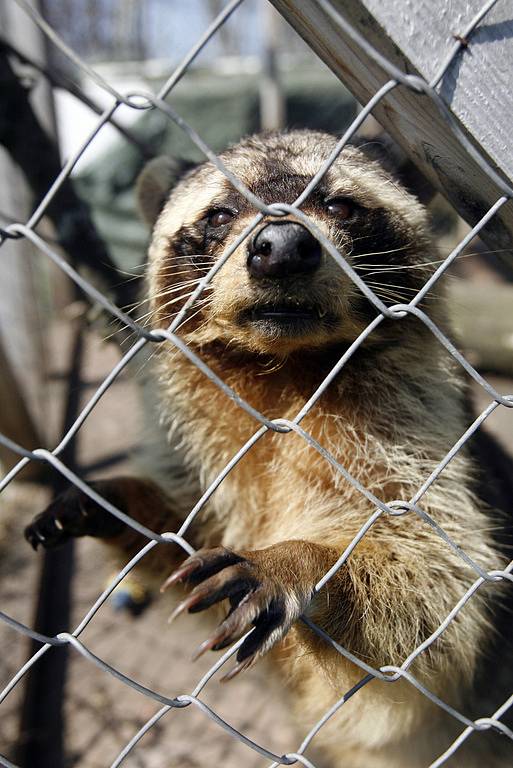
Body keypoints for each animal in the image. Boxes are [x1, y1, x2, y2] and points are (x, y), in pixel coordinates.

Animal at [25, 129, 512, 764]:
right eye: (220, 214)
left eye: (340, 206)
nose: (281, 247)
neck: (282, 372)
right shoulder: (195, 440)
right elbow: (187, 538)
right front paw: (119, 499)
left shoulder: (420, 431)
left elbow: (442, 588)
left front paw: (304, 560)